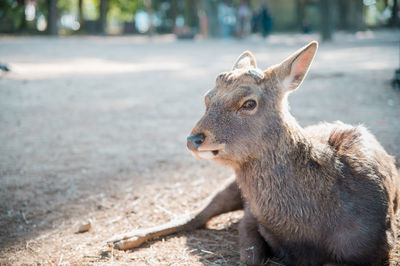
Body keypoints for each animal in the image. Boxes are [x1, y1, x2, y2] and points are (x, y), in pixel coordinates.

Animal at [108, 41, 398, 266]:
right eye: (207, 98)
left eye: (248, 103)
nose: (194, 139)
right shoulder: (251, 216)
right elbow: (250, 254)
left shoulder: (375, 247)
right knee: (198, 215)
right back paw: (122, 238)